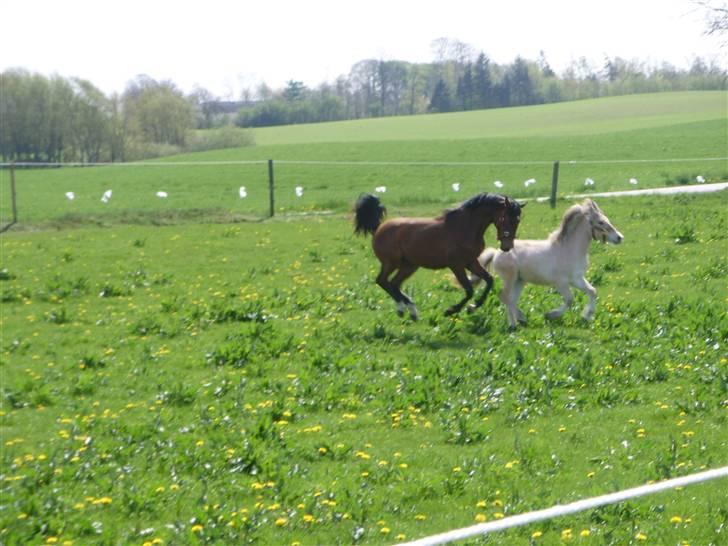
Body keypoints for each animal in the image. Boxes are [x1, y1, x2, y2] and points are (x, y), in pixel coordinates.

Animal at [352, 192, 524, 316]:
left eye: (518, 220)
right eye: (505, 217)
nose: (507, 247)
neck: (465, 227)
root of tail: (378, 228)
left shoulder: (471, 262)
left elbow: (489, 280)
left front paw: (472, 307)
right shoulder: (456, 265)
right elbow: (469, 290)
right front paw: (451, 310)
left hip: (409, 266)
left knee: (393, 284)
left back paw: (411, 311)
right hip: (391, 263)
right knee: (382, 281)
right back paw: (404, 308)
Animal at [478, 200, 624, 328]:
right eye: (601, 222)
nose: (619, 237)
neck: (569, 250)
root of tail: (496, 253)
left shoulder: (577, 279)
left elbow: (592, 291)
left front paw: (587, 315)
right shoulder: (561, 283)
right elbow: (570, 299)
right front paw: (550, 315)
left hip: (520, 281)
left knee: (511, 300)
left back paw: (522, 318)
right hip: (510, 279)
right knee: (505, 296)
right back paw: (513, 324)